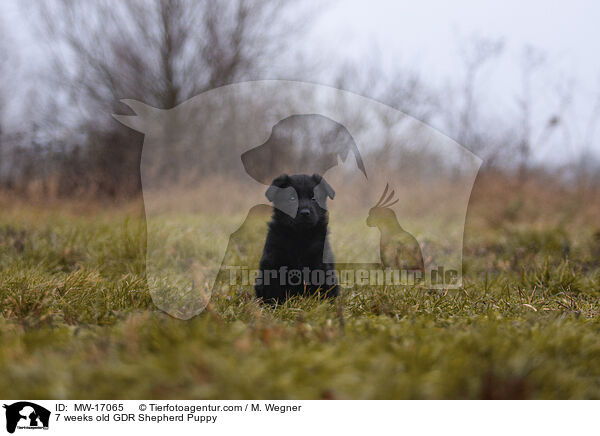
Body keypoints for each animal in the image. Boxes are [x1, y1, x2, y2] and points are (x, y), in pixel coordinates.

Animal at [253, 174, 338, 304]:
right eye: (292, 198)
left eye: (314, 198)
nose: (305, 213)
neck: (300, 236)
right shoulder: (273, 263)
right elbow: (274, 290)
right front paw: (275, 305)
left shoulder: (320, 264)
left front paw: (319, 304)